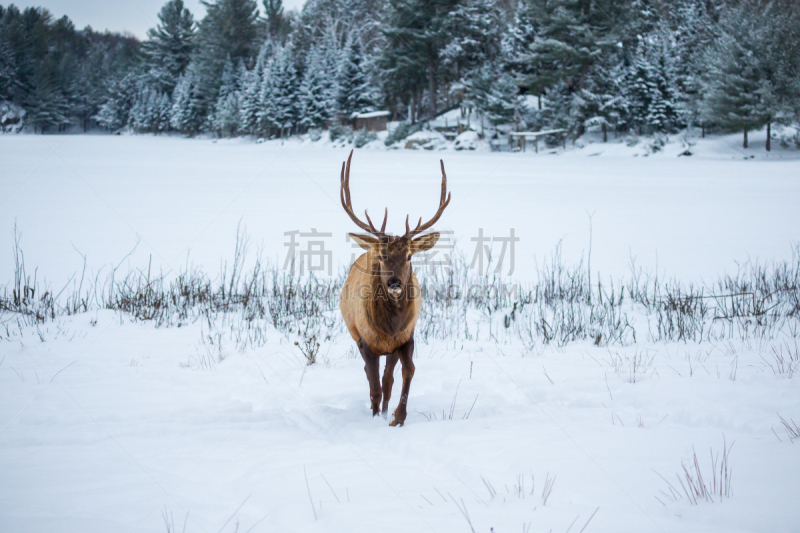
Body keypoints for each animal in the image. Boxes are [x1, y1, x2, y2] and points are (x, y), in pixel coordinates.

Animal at [338, 150, 450, 428]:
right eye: (382, 256)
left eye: (410, 255)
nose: (395, 283)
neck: (390, 327)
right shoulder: (366, 340)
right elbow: (374, 385)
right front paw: (377, 415)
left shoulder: (406, 337)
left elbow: (406, 372)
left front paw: (398, 417)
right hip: (355, 333)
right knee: (373, 379)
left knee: (388, 378)